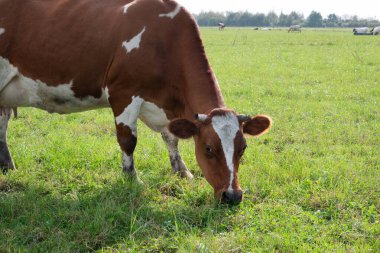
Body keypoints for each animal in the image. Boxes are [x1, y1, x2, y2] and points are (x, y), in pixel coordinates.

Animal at [0, 0, 274, 205]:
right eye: (208, 148)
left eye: (243, 148)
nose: (233, 196)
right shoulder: (124, 93)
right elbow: (128, 140)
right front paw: (132, 178)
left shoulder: (165, 107)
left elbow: (171, 138)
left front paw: (182, 171)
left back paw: (7, 165)